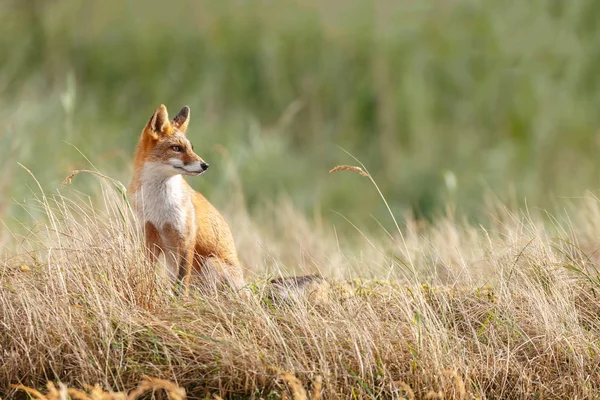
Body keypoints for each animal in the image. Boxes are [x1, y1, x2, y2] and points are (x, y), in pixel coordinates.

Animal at [131, 104, 244, 292]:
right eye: (176, 148)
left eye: (192, 148)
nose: (205, 165)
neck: (159, 206)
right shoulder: (150, 236)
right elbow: (147, 272)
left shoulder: (186, 239)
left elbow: (182, 283)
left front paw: (179, 299)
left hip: (211, 263)